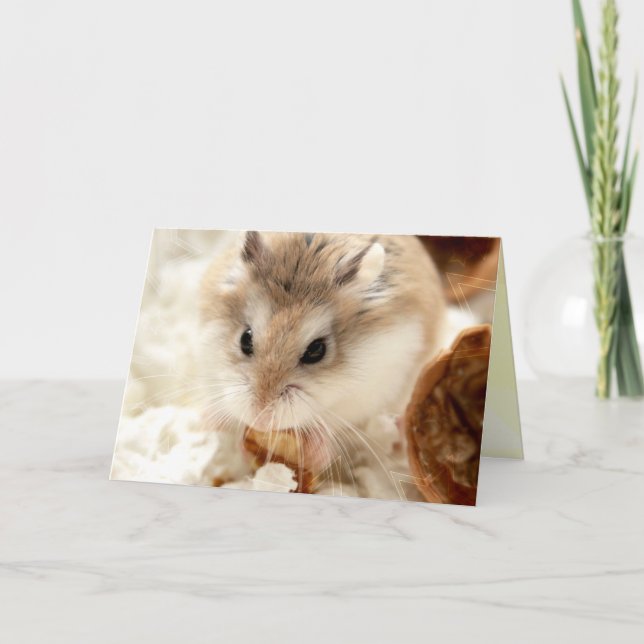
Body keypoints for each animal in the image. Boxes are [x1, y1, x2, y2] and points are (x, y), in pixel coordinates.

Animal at [199, 231, 445, 468]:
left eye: (317, 350)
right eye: (245, 339)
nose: (260, 420)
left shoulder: (371, 392)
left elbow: (334, 425)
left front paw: (315, 451)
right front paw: (220, 426)